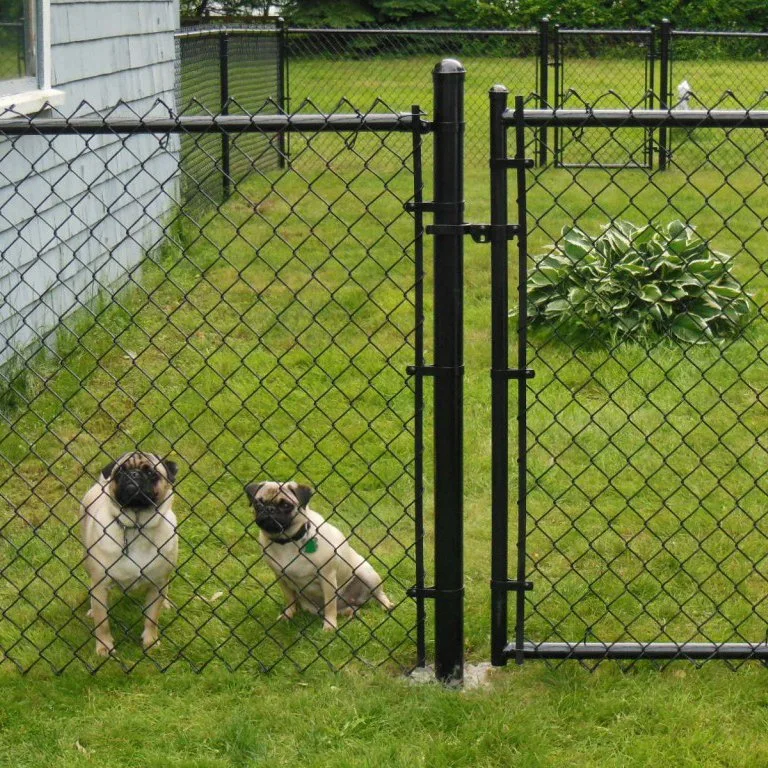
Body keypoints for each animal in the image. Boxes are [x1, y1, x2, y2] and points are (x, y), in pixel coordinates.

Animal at [80, 452, 178, 656]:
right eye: (120, 472)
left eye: (151, 473)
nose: (133, 474)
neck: (136, 526)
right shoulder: (100, 585)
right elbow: (102, 623)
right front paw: (104, 647)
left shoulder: (156, 584)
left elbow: (152, 618)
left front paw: (150, 641)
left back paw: (166, 603)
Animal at [244, 480, 392, 632]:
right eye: (258, 504)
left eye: (286, 505)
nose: (269, 509)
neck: (287, 541)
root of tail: (354, 600)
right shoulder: (280, 577)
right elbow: (289, 599)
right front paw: (288, 615)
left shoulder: (327, 577)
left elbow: (330, 605)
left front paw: (329, 626)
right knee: (348, 609)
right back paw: (350, 612)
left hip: (367, 574)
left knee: (379, 594)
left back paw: (387, 606)